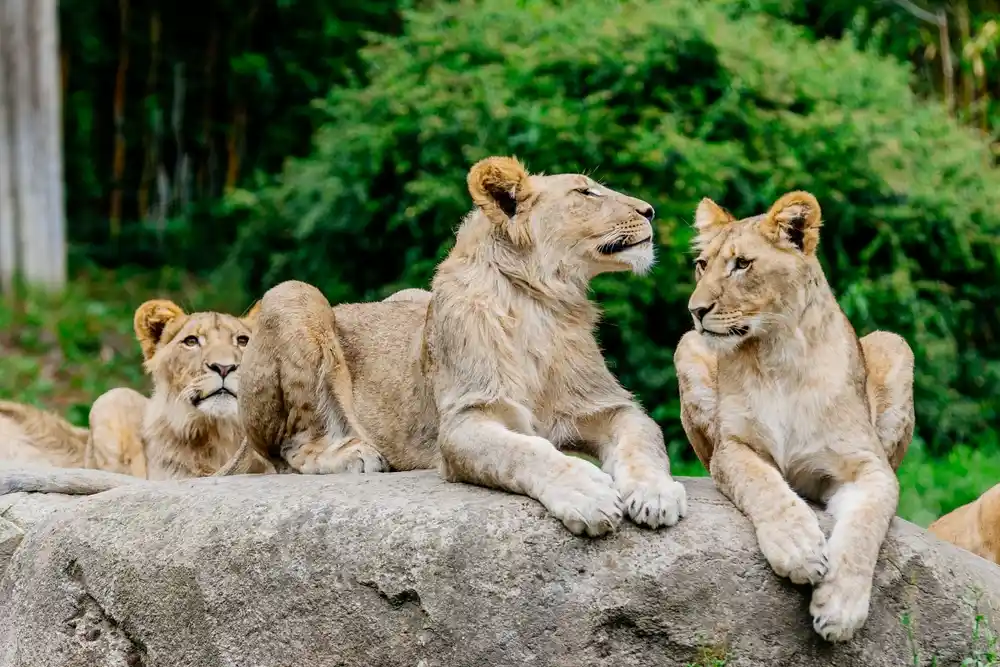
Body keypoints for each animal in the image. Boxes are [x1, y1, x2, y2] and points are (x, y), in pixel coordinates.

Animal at [225, 155, 688, 537]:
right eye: (586, 192)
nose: (650, 211)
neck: (541, 304)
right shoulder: (465, 418)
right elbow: (525, 451)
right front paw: (585, 493)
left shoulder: (608, 406)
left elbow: (645, 439)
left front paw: (656, 493)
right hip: (293, 296)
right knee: (288, 451)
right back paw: (353, 454)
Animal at [672, 192, 915, 642]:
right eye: (702, 264)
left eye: (742, 264)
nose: (695, 310)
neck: (777, 356)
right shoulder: (732, 448)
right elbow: (764, 484)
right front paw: (800, 550)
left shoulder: (870, 467)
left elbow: (864, 527)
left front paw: (839, 610)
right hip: (687, 347)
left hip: (895, 344)